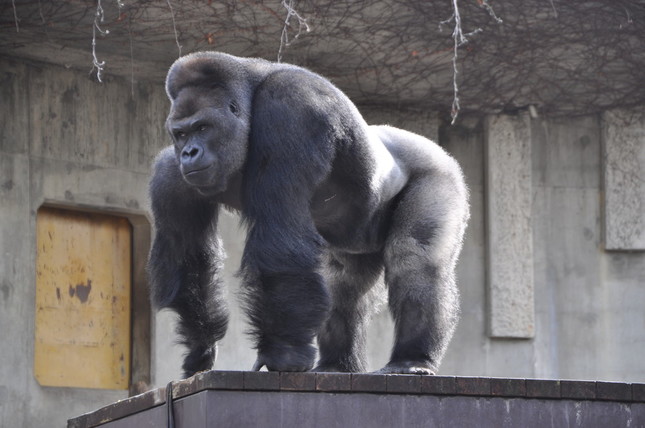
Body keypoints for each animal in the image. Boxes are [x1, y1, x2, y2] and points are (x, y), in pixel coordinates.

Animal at [146, 51, 468, 378]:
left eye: (203, 127)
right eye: (181, 133)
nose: (189, 153)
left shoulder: (291, 109)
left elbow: (280, 244)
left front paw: (283, 353)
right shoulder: (170, 175)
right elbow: (190, 260)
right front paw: (201, 348)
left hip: (439, 171)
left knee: (415, 258)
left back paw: (411, 359)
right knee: (342, 283)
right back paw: (337, 364)